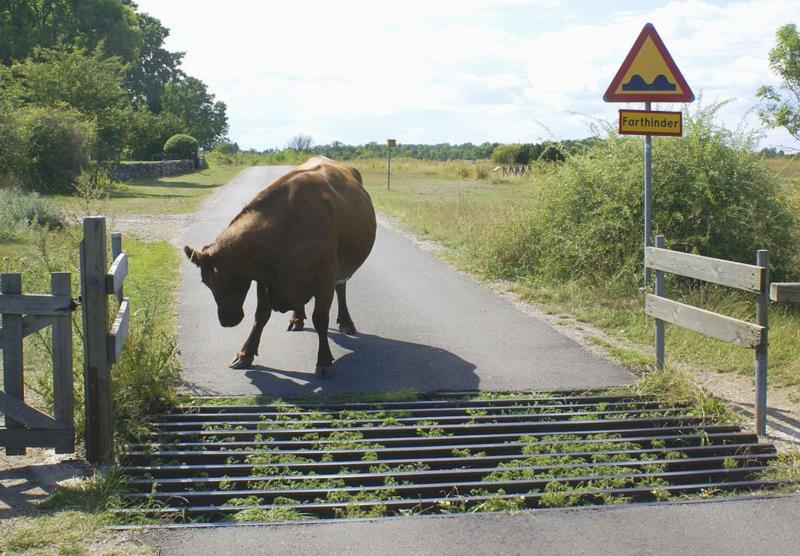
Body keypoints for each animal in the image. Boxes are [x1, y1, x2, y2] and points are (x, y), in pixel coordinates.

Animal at [186, 159, 376, 380]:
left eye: (229, 279)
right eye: (205, 282)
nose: (226, 320)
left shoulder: (325, 278)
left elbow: (320, 319)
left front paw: (324, 361)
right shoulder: (264, 279)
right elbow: (260, 316)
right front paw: (245, 354)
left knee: (341, 288)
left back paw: (346, 322)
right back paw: (297, 318)